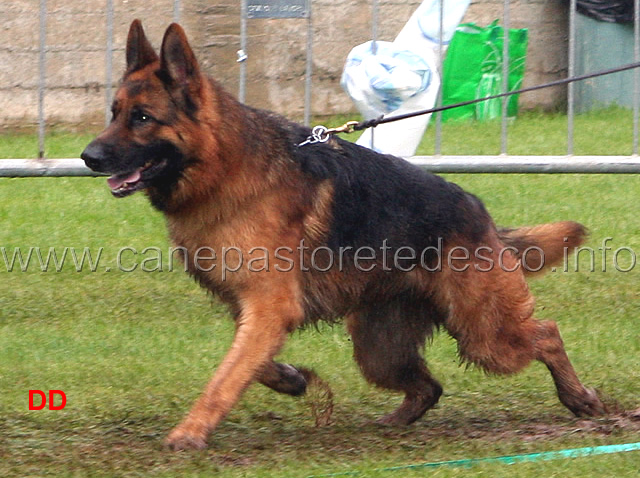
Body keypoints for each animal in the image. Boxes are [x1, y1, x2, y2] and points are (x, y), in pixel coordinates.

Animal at [82, 20, 608, 450]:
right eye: (114, 112)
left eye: (142, 118)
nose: (88, 157)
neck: (224, 167)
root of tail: (480, 213)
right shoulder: (254, 309)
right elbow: (247, 362)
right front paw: (290, 378)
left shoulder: (270, 307)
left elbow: (224, 378)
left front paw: (190, 432)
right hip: (380, 350)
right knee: (429, 386)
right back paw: (396, 421)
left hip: (485, 335)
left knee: (546, 334)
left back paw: (579, 398)